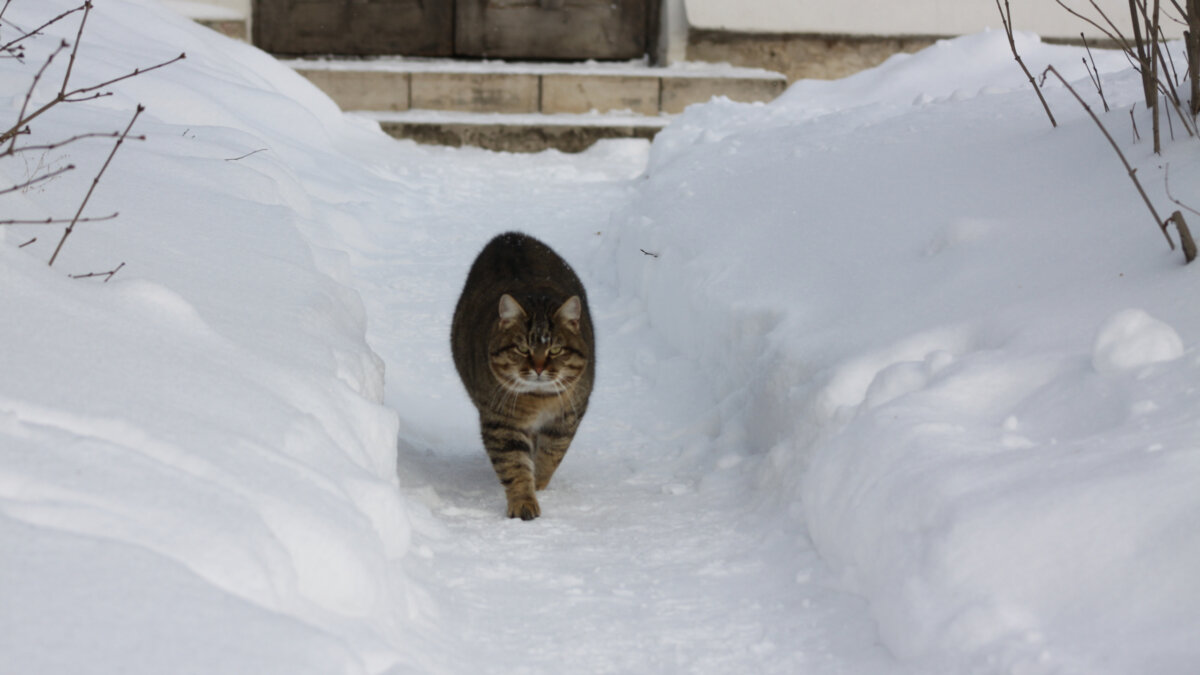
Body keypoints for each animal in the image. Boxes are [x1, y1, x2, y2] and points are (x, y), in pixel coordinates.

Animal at [451, 228, 595, 516]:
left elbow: (551, 455)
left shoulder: (568, 416)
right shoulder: (500, 421)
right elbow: (514, 464)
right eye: (522, 348)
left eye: (555, 350)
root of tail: (509, 236)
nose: (538, 368)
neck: (539, 399)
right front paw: (523, 502)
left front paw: (538, 483)